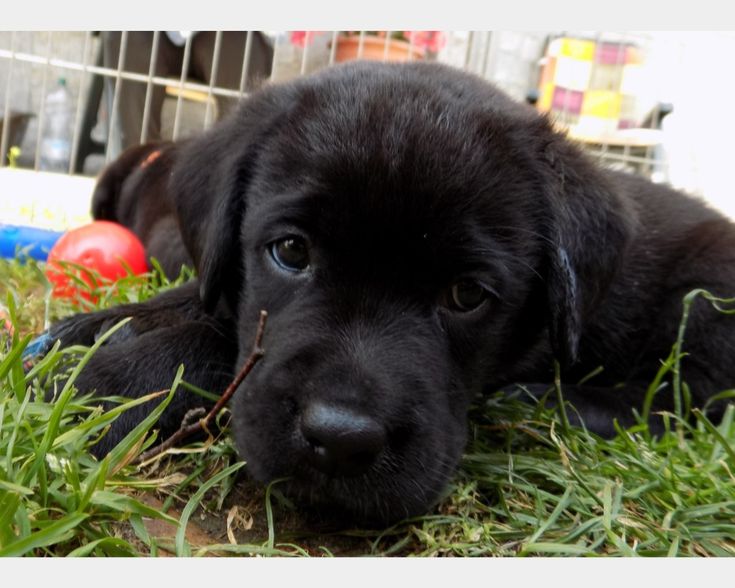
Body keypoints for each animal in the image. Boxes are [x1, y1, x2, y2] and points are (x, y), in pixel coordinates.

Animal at [50, 62, 735, 524]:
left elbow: (224, 344)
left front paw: (110, 382)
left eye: (468, 294)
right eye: (291, 251)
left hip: (707, 296)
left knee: (686, 396)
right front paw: (103, 329)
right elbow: (215, 300)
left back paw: (551, 404)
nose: (339, 441)